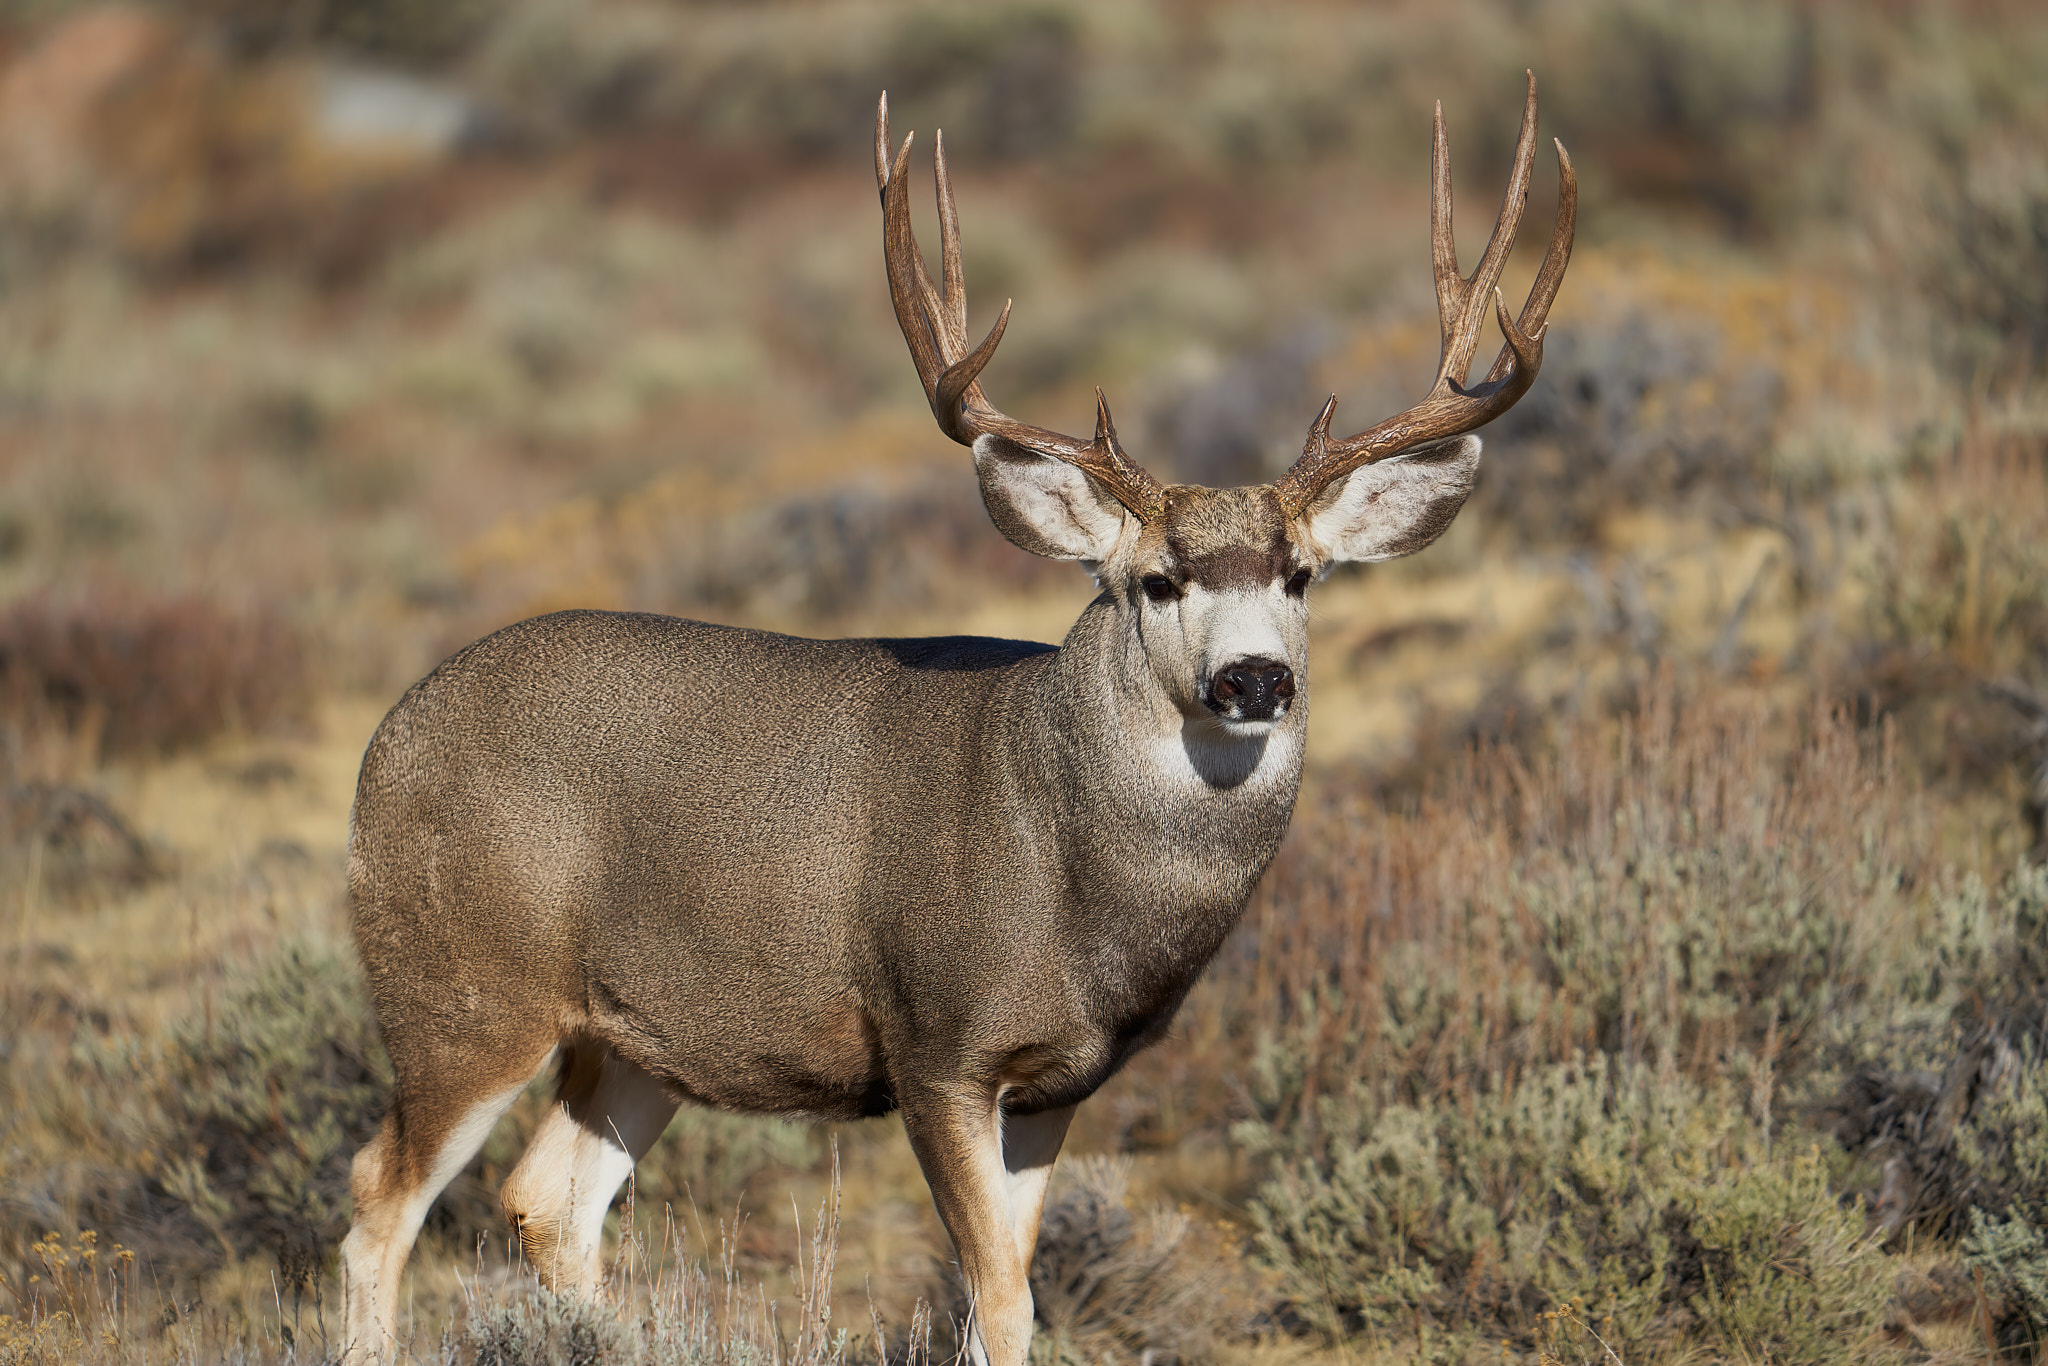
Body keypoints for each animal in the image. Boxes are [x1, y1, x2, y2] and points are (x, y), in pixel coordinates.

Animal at [338, 74, 1575, 1365]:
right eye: (1156, 580)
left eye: (1300, 575)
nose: (1251, 680)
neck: (1069, 870)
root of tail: (385, 744)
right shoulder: (936, 1041)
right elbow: (994, 1292)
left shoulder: (1055, 1083)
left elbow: (1011, 1288)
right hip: (462, 990)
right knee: (379, 1198)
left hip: (635, 1038)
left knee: (546, 1200)